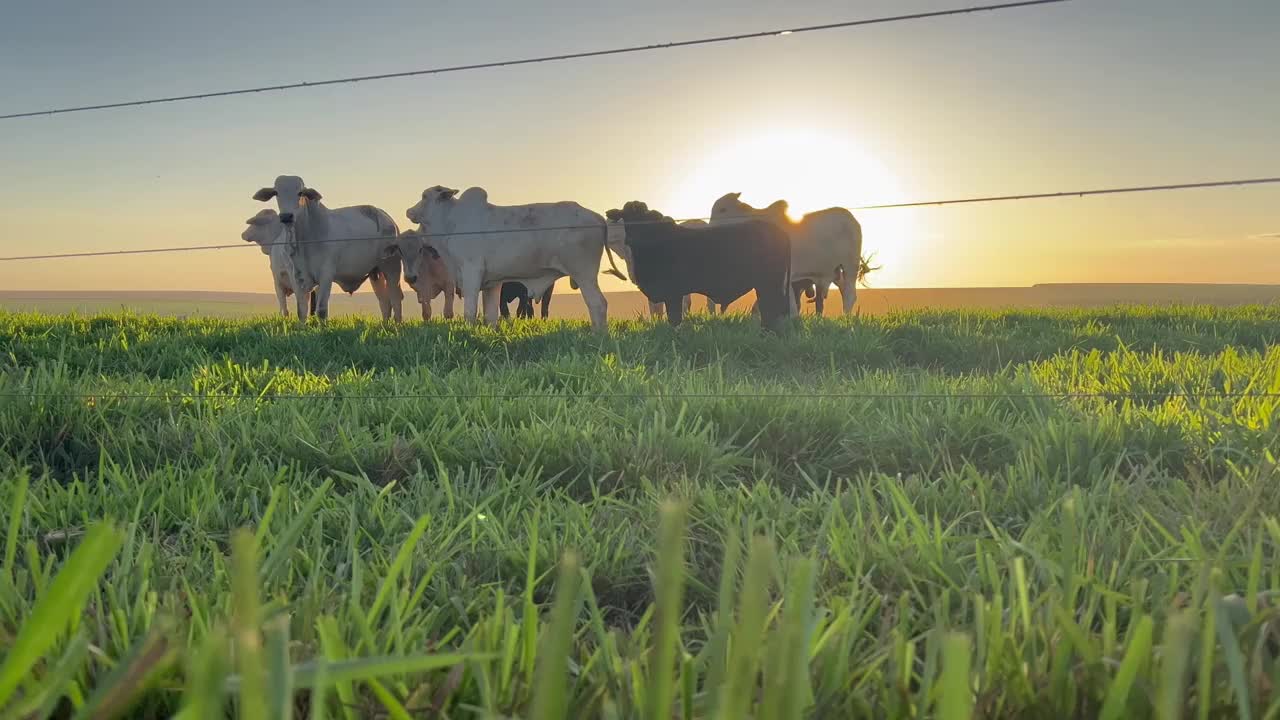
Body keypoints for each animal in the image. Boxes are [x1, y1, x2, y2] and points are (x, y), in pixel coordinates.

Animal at [250, 174, 404, 319]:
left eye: (300, 192)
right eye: (276, 192)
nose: (286, 216)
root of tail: (387, 218)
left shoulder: (326, 275)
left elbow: (322, 311)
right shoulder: (297, 278)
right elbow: (302, 311)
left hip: (391, 267)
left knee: (395, 298)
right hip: (375, 272)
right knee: (384, 302)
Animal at [399, 184, 619, 330]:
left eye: (425, 196)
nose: (409, 211)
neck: (450, 222)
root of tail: (598, 217)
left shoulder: (471, 272)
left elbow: (470, 311)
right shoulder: (492, 283)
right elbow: (491, 315)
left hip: (584, 274)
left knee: (598, 304)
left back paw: (598, 335)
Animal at [601, 198, 788, 327]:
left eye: (645, 218)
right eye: (627, 217)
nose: (634, 239)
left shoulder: (673, 293)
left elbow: (674, 319)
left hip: (769, 284)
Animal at [711, 192, 860, 312]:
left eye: (723, 209)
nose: (710, 227)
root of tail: (851, 218)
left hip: (851, 266)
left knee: (849, 295)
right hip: (835, 271)